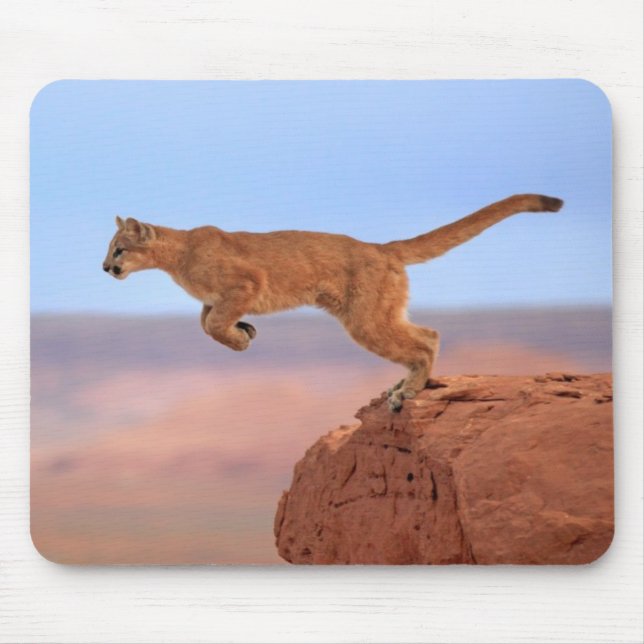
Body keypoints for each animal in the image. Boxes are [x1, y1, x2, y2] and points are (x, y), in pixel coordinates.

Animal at [103, 194, 563, 411]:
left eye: (119, 249)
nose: (105, 267)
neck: (177, 255)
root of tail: (381, 247)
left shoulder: (248, 282)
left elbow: (214, 324)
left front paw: (241, 338)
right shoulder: (216, 299)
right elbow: (206, 322)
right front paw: (246, 329)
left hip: (365, 320)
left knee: (424, 342)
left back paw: (408, 392)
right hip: (379, 312)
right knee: (428, 332)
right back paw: (403, 385)